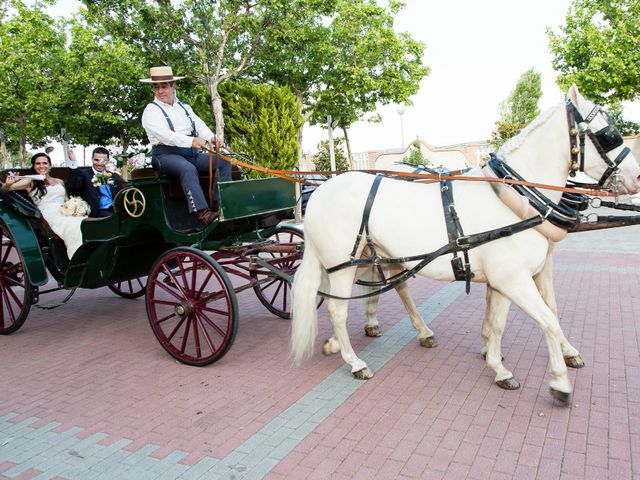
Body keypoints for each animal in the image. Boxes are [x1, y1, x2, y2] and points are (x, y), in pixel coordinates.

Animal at [292, 87, 640, 404]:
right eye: (608, 133)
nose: (636, 178)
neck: (514, 200)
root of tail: (321, 191)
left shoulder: (507, 280)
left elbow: (503, 322)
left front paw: (498, 366)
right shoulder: (514, 279)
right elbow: (549, 320)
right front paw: (559, 382)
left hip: (370, 257)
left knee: (376, 290)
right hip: (342, 264)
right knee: (337, 308)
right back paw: (355, 361)